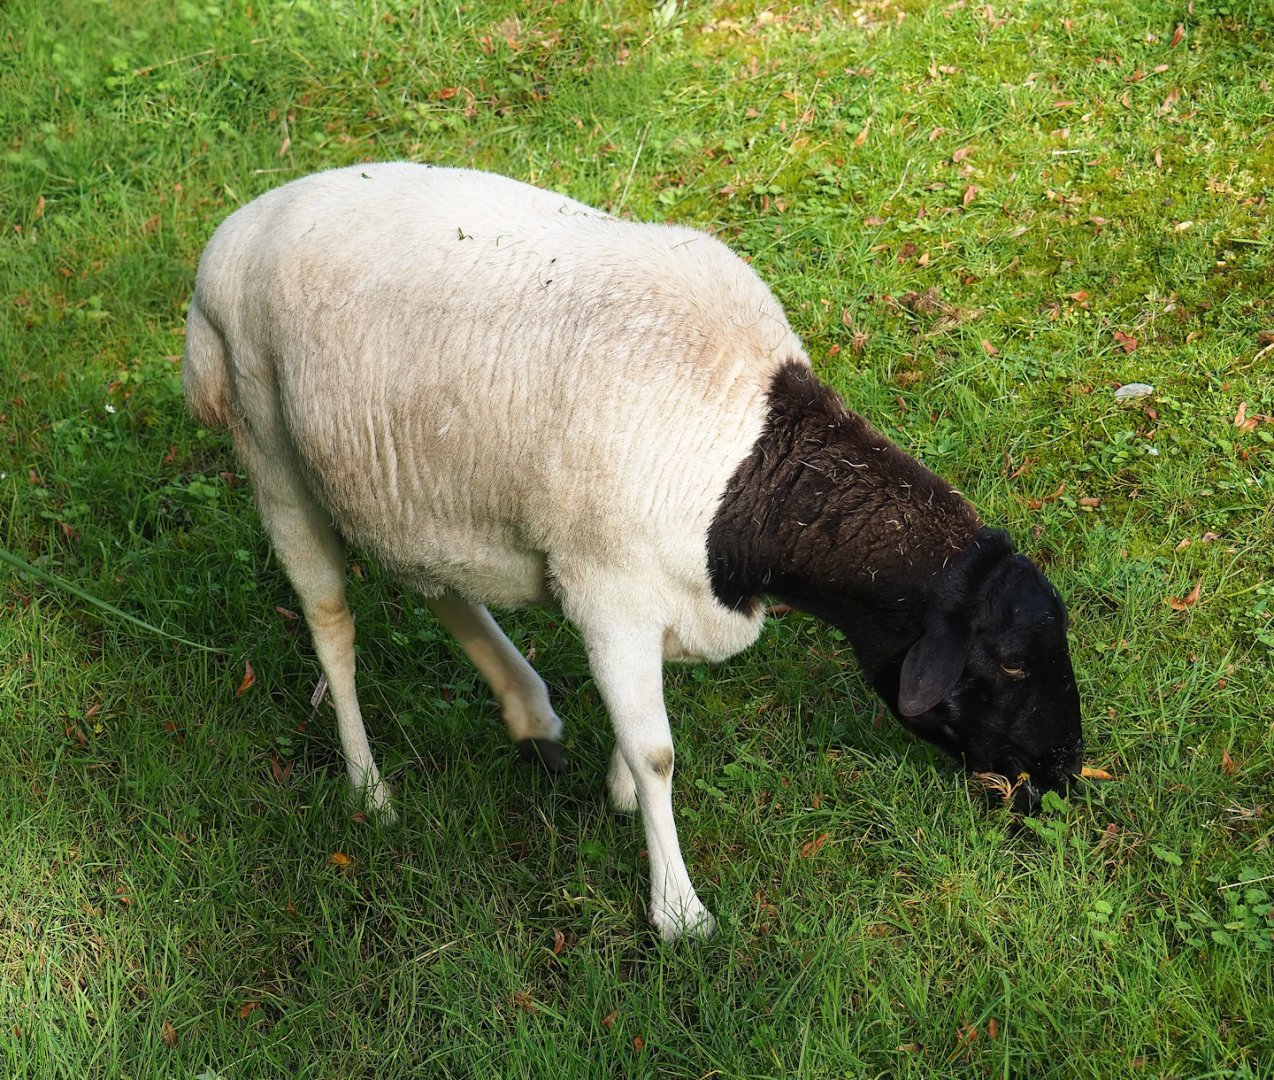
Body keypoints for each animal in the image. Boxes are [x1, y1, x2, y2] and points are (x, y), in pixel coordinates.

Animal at [184, 162, 1084, 941]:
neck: (750, 469)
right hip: (270, 449)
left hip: (411, 482)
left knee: (436, 581)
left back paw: (528, 710)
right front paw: (679, 913)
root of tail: (233, 231)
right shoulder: (608, 591)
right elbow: (659, 755)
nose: (1066, 778)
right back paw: (370, 789)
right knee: (331, 623)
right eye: (1009, 663)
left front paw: (615, 787)